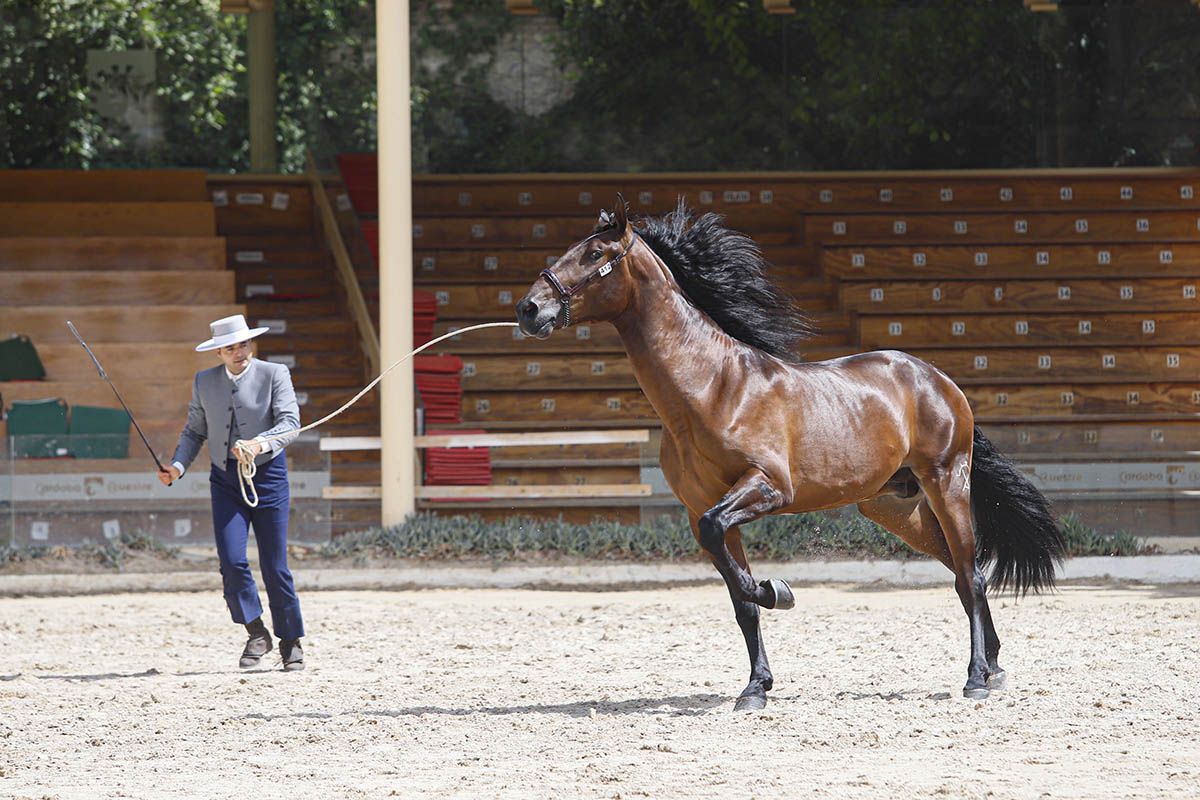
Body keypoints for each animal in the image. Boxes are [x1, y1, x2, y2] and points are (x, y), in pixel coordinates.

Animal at [516, 199, 1070, 714]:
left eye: (594, 254)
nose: (529, 309)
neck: (713, 388)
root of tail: (937, 379)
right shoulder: (701, 508)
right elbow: (739, 599)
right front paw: (755, 688)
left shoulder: (765, 488)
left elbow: (740, 574)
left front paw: (776, 589)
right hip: (896, 506)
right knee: (962, 572)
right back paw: (994, 667)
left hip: (946, 482)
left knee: (971, 575)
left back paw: (976, 678)